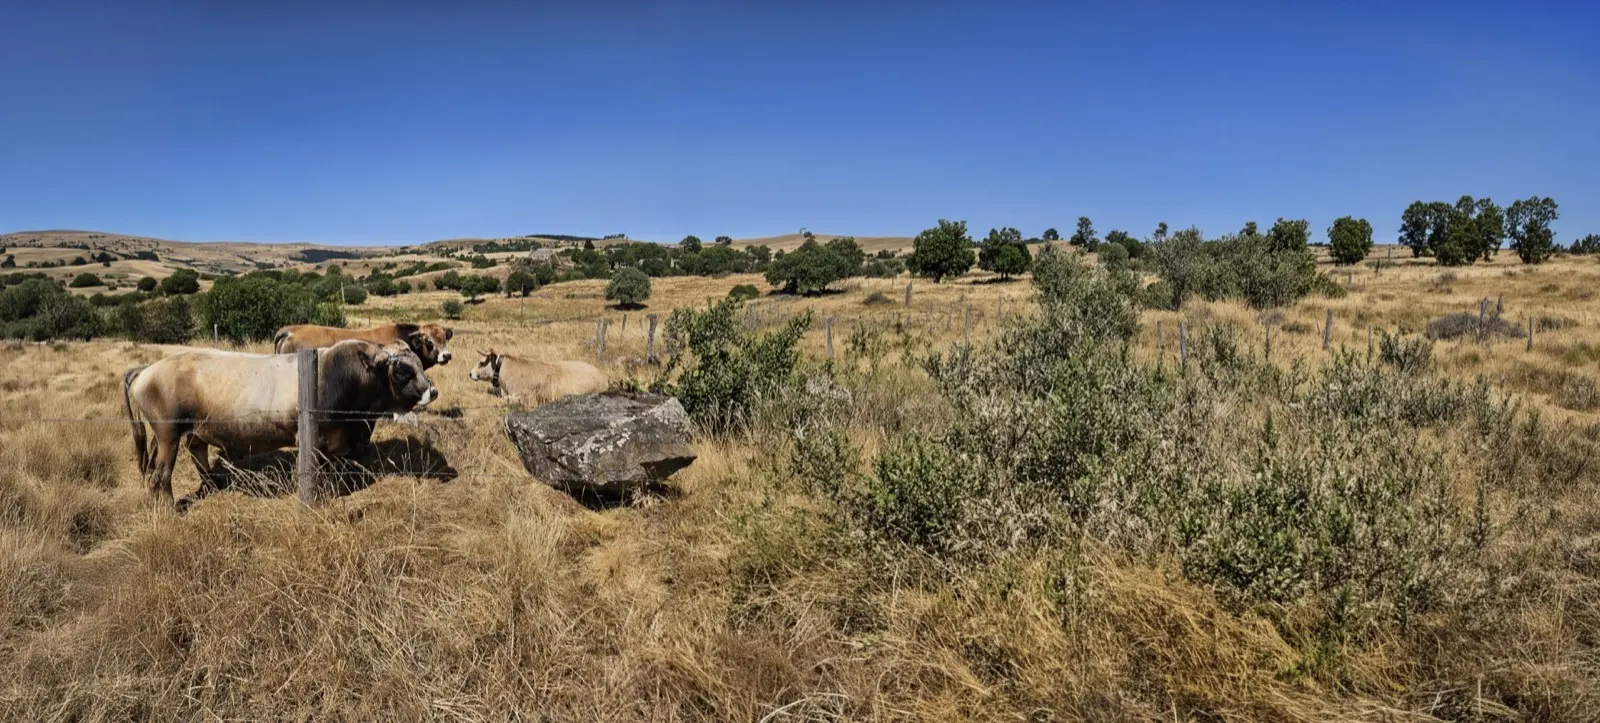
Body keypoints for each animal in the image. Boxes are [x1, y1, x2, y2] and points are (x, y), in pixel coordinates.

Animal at [122, 339, 438, 509]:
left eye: (420, 364)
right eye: (403, 370)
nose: (432, 391)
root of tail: (148, 369)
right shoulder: (312, 441)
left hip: (193, 430)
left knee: (196, 453)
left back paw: (213, 484)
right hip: (167, 434)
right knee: (160, 475)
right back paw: (168, 509)